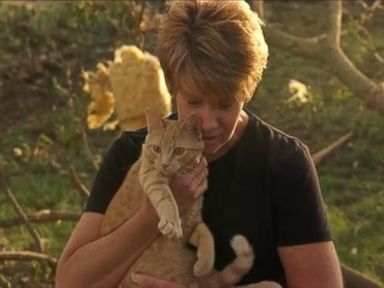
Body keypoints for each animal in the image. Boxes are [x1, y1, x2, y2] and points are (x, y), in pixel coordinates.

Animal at [99, 110, 280, 288]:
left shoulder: (193, 222)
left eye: (179, 151)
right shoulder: (151, 176)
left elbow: (207, 235)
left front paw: (203, 266)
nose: (164, 164)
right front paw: (172, 223)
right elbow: (166, 198)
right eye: (157, 148)